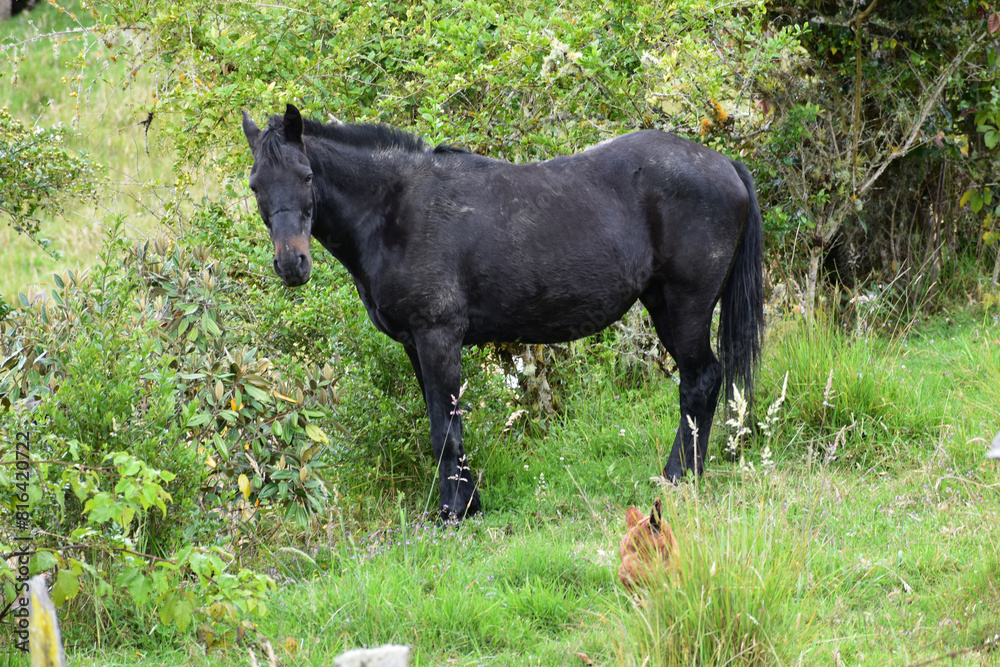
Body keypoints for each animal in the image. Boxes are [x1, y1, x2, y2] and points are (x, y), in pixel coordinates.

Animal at [242, 104, 764, 520]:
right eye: (255, 186)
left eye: (307, 176)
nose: (291, 264)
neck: (395, 208)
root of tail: (726, 165)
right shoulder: (416, 344)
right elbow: (444, 424)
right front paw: (466, 502)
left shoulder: (438, 336)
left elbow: (444, 429)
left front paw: (455, 512)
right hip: (663, 305)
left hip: (686, 306)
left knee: (700, 381)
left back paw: (679, 477)